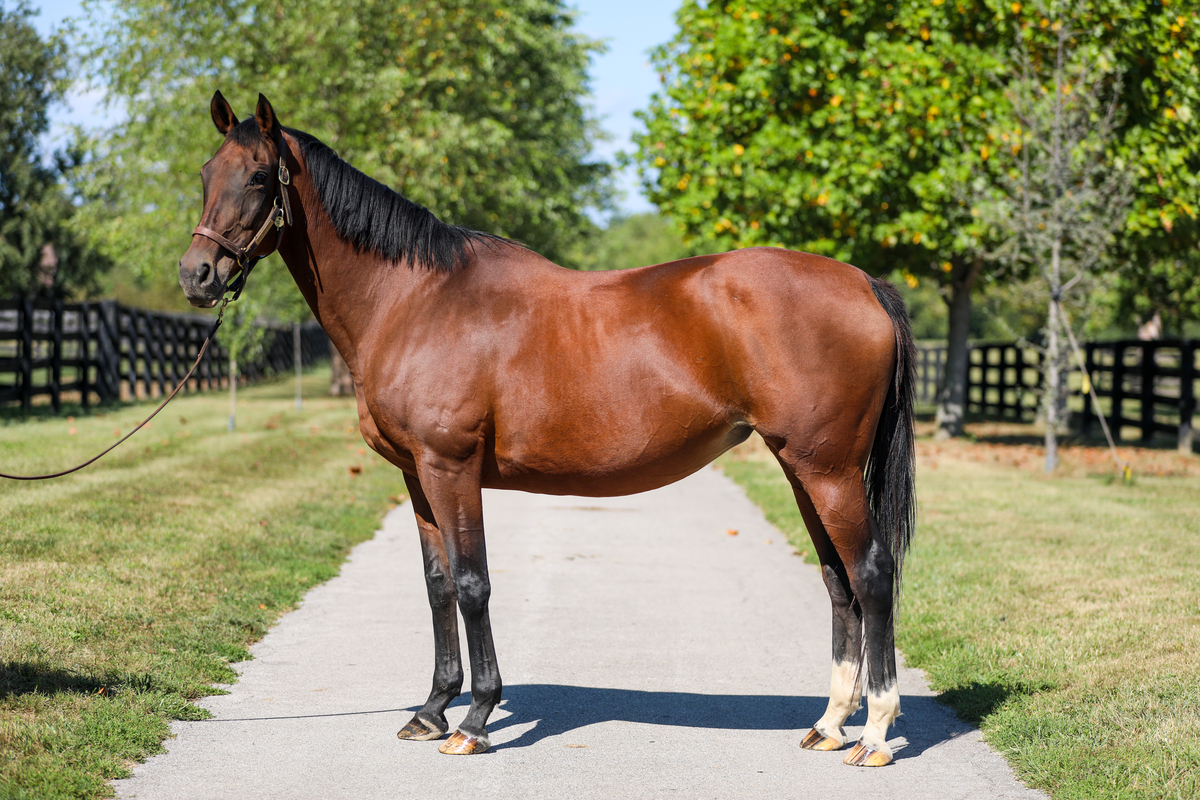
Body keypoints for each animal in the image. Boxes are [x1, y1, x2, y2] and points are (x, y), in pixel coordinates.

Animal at [178, 92, 917, 767]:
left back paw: (875, 733)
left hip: (828, 470)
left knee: (872, 573)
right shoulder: (416, 475)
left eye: (257, 177)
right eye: (206, 173)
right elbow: (438, 585)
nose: (197, 276)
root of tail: (864, 284)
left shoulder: (451, 467)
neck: (414, 300)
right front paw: (431, 710)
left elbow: (473, 582)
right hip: (802, 467)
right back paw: (830, 724)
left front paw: (474, 719)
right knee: (837, 579)